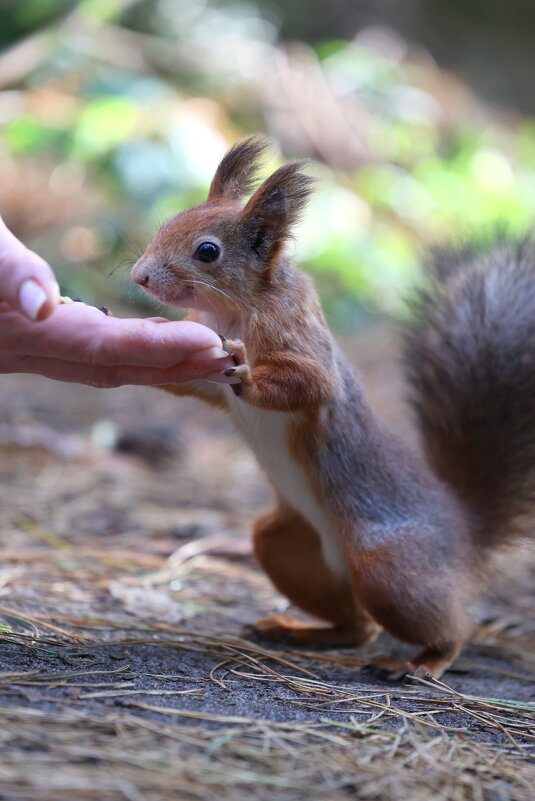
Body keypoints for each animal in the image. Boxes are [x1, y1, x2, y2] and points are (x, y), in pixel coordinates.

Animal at [131, 134, 535, 680]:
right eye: (170, 222)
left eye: (208, 251)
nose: (139, 277)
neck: (233, 310)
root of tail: (465, 530)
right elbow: (200, 384)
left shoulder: (300, 342)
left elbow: (309, 384)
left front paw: (245, 369)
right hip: (286, 546)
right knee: (355, 626)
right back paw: (297, 630)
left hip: (391, 571)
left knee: (443, 628)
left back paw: (423, 661)